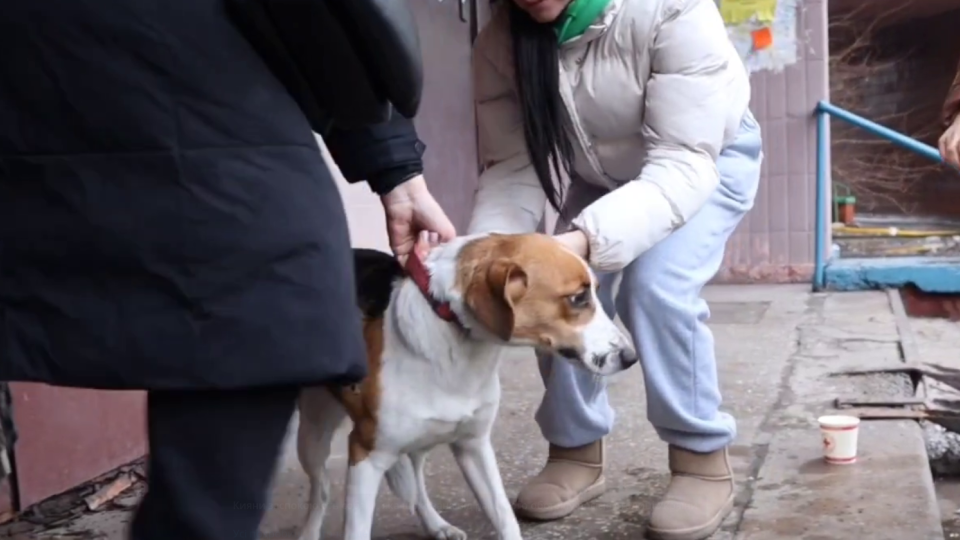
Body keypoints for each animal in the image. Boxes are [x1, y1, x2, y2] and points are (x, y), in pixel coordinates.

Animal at [292, 232, 636, 540]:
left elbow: (504, 515)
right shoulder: (365, 454)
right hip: (312, 435)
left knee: (416, 485)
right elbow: (356, 529)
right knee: (321, 491)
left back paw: (436, 525)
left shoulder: (474, 444)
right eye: (578, 298)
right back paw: (308, 532)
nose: (631, 357)